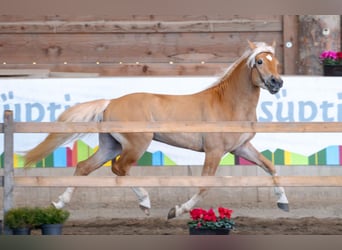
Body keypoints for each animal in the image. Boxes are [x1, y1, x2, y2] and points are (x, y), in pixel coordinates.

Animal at [23, 41, 288, 219]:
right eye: (260, 61)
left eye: (277, 62)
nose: (277, 83)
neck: (228, 103)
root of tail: (111, 102)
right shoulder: (214, 151)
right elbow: (205, 185)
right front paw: (177, 210)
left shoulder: (241, 147)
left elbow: (271, 167)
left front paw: (283, 203)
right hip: (137, 144)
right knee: (120, 169)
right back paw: (145, 202)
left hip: (111, 146)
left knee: (84, 167)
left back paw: (59, 204)